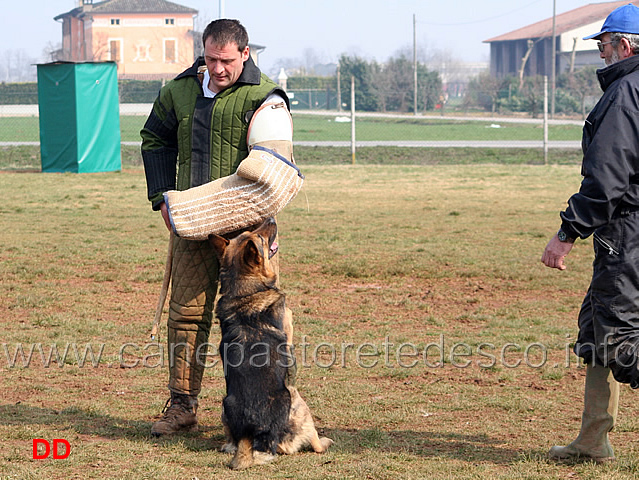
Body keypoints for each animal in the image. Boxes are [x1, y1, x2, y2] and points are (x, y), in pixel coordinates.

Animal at [210, 218, 332, 468]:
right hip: (299, 402)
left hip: (224, 406)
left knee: (230, 444)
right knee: (314, 444)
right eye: (260, 238)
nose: (271, 219)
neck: (244, 291)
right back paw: (325, 442)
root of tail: (260, 433)